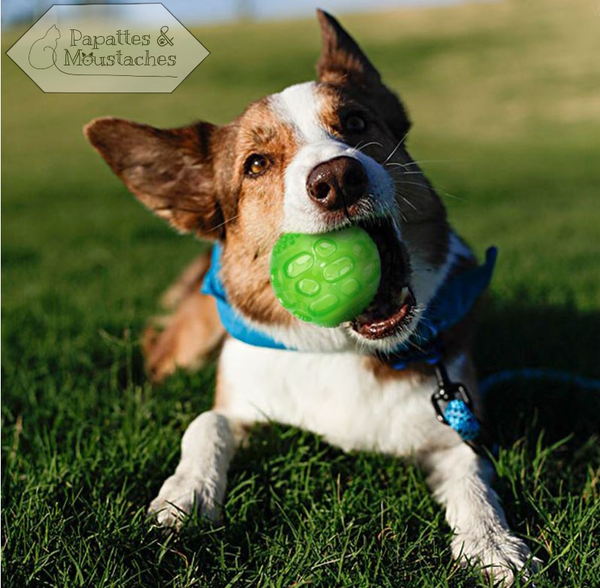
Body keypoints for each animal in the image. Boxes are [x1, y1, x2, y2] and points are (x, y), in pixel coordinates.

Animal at [83, 11, 536, 584]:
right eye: (255, 164)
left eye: (357, 123)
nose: (338, 178)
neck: (343, 348)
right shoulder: (241, 401)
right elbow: (206, 422)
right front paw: (186, 493)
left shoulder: (454, 425)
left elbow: (474, 479)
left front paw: (494, 543)